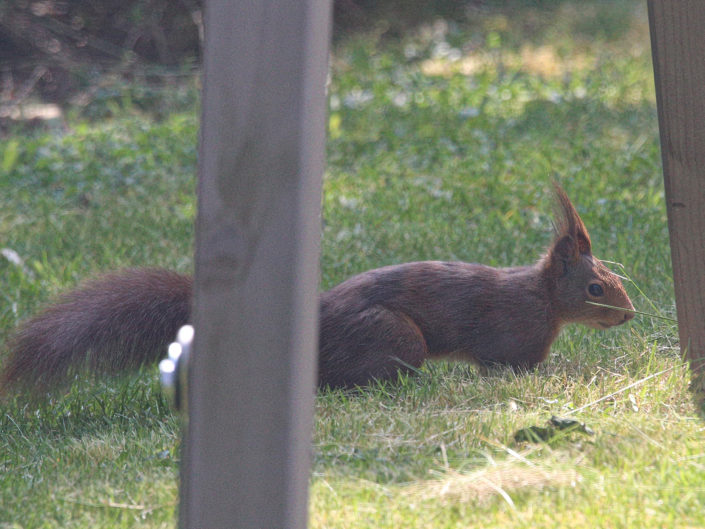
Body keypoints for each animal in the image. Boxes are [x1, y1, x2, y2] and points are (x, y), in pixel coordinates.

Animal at [0, 184, 634, 393]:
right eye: (596, 288)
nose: (629, 316)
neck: (543, 298)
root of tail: (318, 322)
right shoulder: (514, 340)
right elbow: (516, 367)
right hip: (396, 340)